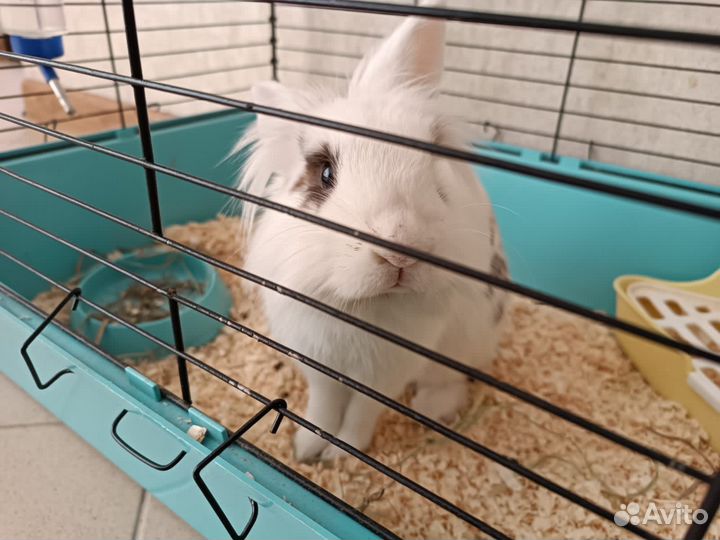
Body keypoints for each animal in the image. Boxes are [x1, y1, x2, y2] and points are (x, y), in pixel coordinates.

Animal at [236, 4, 509, 462]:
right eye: (325, 174)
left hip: (467, 343)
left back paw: (434, 408)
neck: (364, 307)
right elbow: (324, 405)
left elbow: (362, 412)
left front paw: (345, 454)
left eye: (431, 163)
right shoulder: (318, 361)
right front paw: (307, 448)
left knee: (449, 381)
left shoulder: (387, 372)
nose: (400, 248)